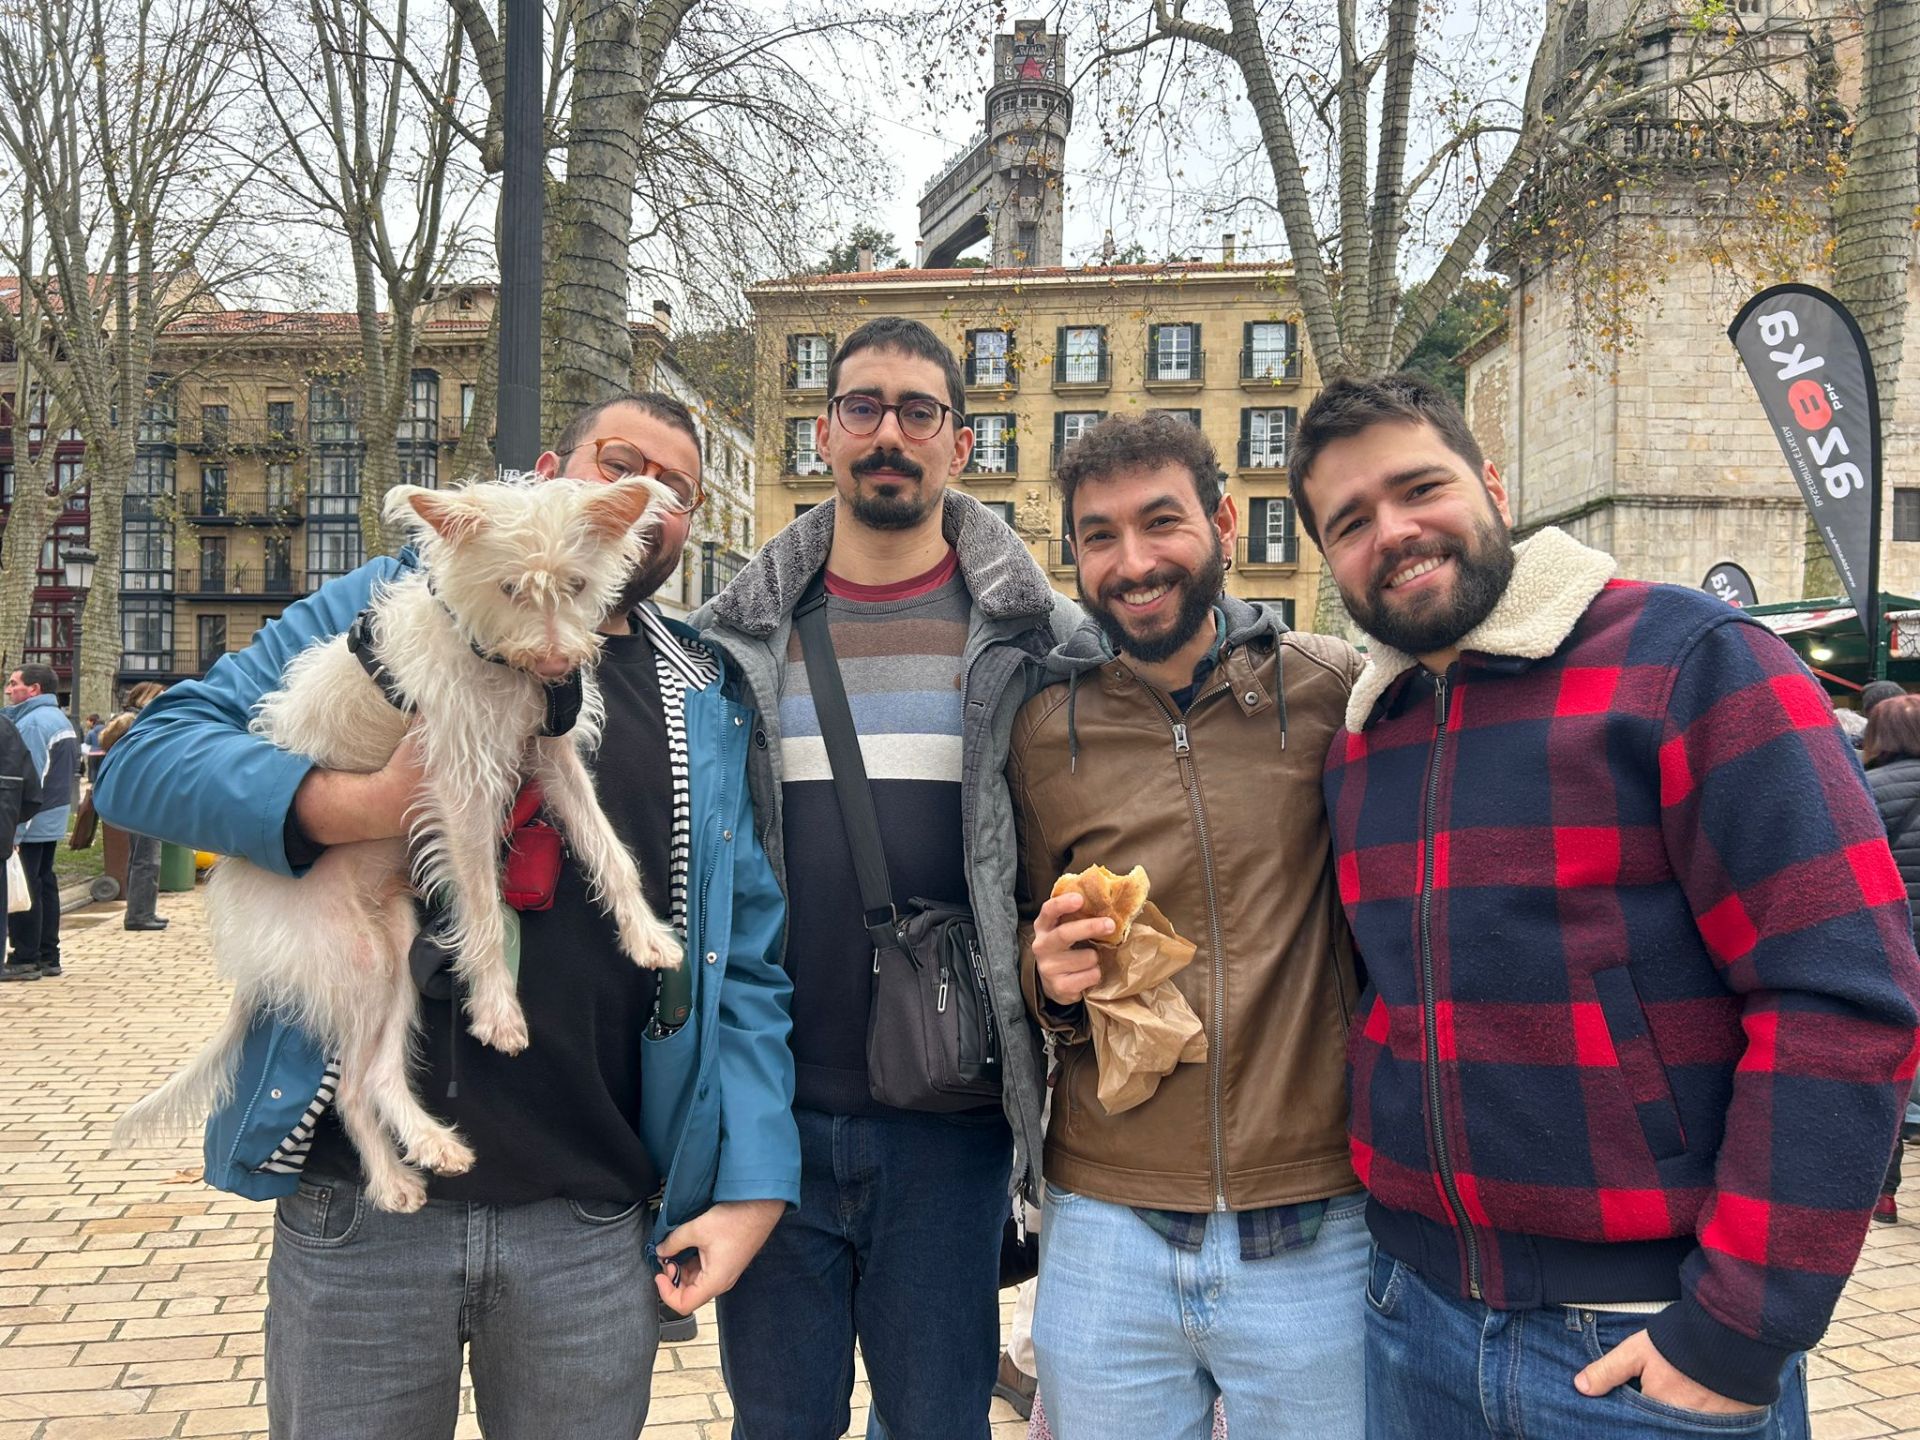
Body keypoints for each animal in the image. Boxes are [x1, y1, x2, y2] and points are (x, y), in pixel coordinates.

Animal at [114, 476, 683, 1221]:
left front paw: (646, 936)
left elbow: (610, 852)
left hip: (396, 954)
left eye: (577, 583)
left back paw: (425, 1157)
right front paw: (497, 1011)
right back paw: (398, 1175)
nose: (560, 662)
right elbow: (482, 910)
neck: (487, 657)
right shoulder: (460, 787)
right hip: (354, 965)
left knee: (372, 1083)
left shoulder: (550, 757)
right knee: (356, 1087)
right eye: (509, 587)